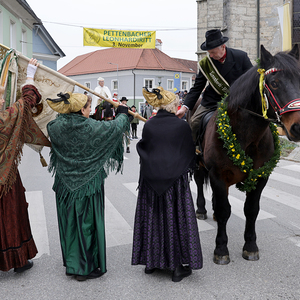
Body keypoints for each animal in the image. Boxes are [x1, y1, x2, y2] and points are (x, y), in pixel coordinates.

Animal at [196, 44, 300, 264]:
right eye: (274, 83)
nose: (298, 126)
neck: (246, 136)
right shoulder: (217, 175)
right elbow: (225, 210)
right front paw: (221, 249)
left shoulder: (260, 176)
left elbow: (251, 210)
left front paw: (250, 246)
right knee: (200, 182)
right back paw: (201, 210)